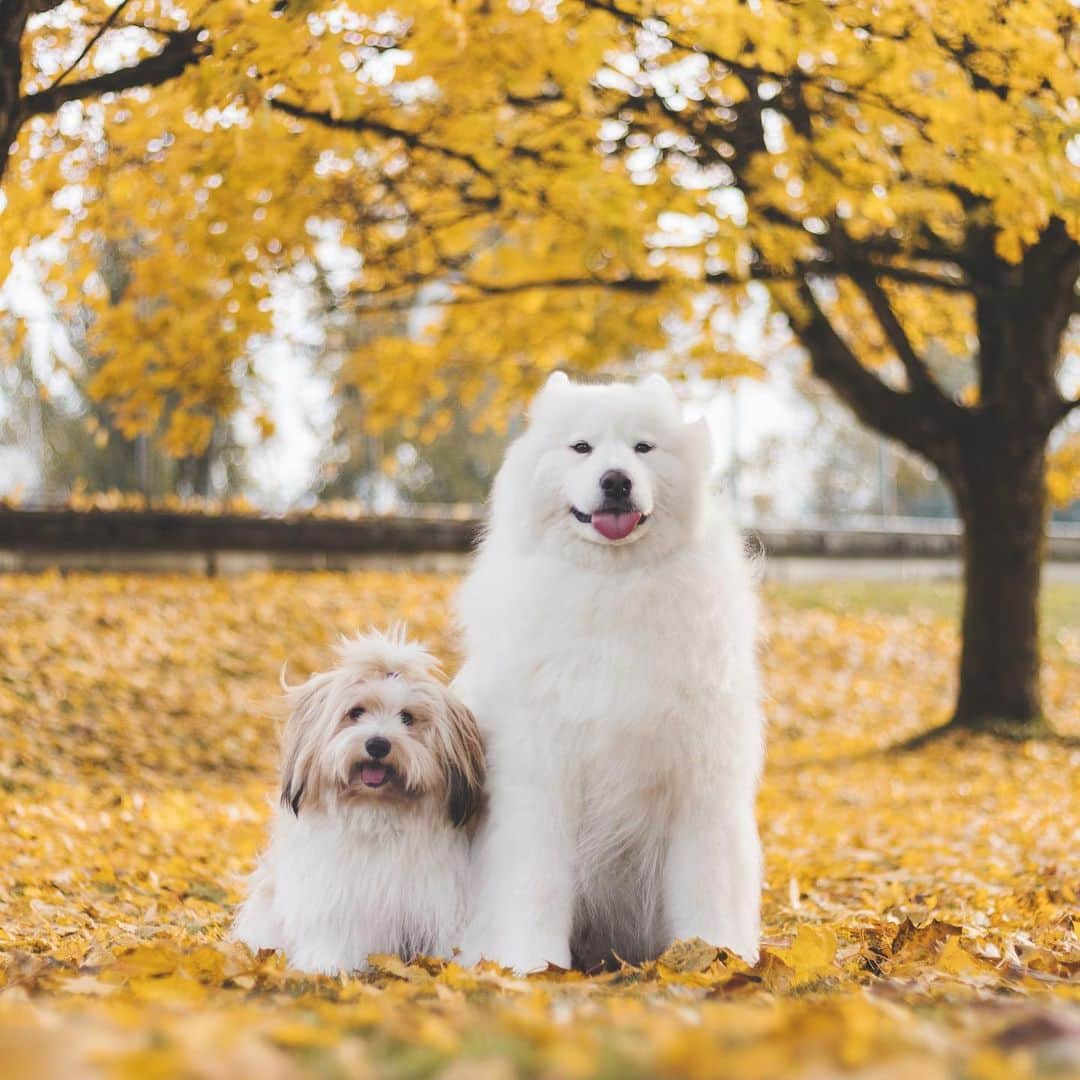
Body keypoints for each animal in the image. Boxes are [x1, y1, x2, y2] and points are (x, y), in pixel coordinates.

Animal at [237, 630, 490, 976]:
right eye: (355, 712)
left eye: (407, 718)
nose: (378, 744)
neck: (377, 812)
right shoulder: (337, 895)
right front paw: (328, 967)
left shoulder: (435, 899)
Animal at [451, 371, 764, 972]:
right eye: (582, 448)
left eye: (644, 448)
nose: (617, 481)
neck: (614, 585)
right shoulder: (540, 782)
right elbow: (536, 886)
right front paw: (534, 966)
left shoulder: (699, 788)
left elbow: (706, 885)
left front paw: (714, 957)